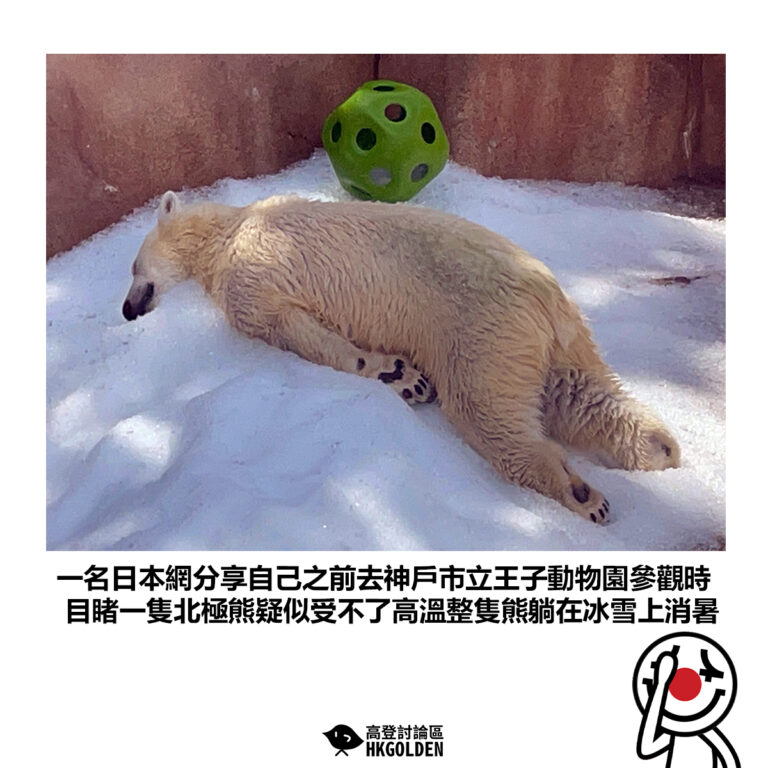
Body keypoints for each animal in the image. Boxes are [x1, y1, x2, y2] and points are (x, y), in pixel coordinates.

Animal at [122, 190, 680, 523]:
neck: (231, 228)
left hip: (481, 330)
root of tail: (545, 296)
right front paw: (402, 375)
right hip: (552, 340)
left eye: (132, 267)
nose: (127, 310)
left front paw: (398, 374)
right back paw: (660, 448)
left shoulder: (252, 269)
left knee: (487, 413)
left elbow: (291, 329)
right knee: (580, 393)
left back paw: (581, 494)